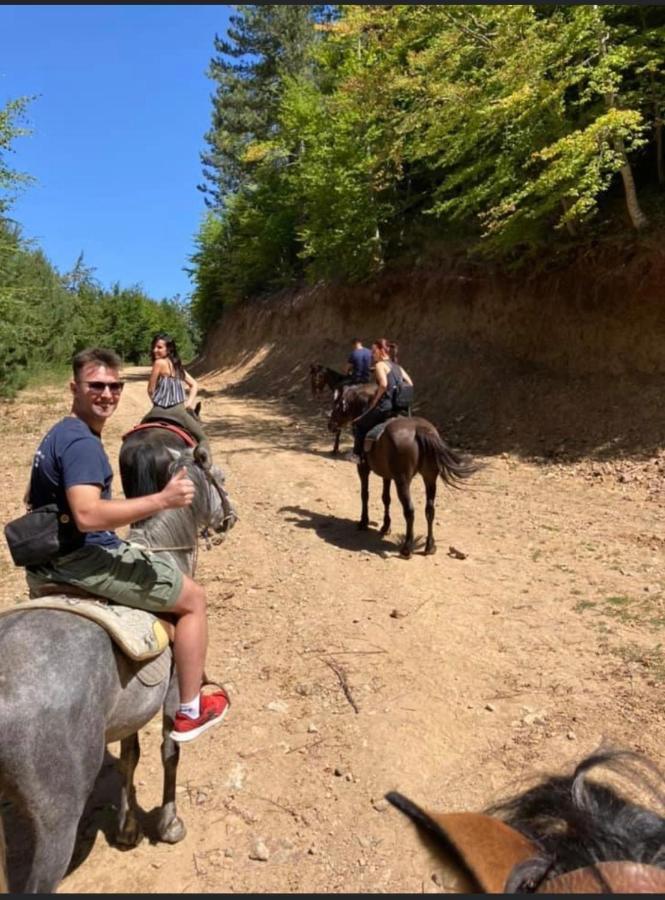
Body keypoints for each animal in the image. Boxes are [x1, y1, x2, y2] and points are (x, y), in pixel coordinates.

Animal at [0, 436, 237, 892]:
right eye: (220, 476)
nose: (231, 518)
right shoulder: (172, 695)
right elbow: (169, 750)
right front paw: (168, 825)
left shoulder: (130, 708)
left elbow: (130, 755)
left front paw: (127, 829)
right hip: (56, 821)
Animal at [328, 390, 474, 560]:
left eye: (337, 405)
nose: (330, 425)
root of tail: (420, 429)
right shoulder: (387, 475)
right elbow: (386, 498)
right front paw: (385, 526)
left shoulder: (363, 468)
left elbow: (365, 494)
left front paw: (364, 522)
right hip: (430, 478)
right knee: (430, 509)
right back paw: (430, 546)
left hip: (403, 481)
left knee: (410, 511)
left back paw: (407, 548)